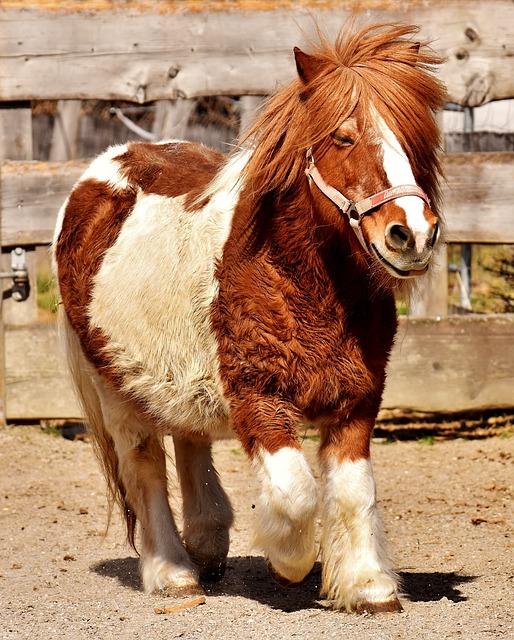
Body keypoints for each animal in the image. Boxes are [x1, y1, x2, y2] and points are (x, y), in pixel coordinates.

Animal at [53, 23, 444, 616]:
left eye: (415, 140)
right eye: (344, 138)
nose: (413, 234)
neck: (303, 284)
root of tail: (105, 167)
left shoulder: (359, 398)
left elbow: (355, 491)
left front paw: (368, 586)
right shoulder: (259, 400)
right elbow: (298, 492)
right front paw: (290, 563)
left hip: (173, 375)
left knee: (189, 441)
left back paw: (207, 545)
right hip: (116, 388)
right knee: (144, 467)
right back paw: (173, 574)